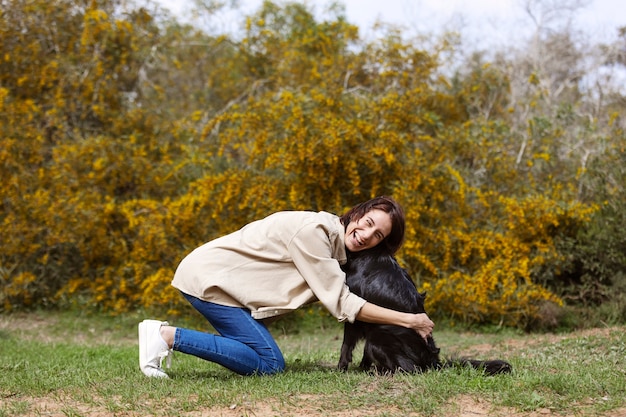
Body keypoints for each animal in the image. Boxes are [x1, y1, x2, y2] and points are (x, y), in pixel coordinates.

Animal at [338, 249, 510, 376]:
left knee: (409, 369)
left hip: (377, 337)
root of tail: (434, 362)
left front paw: (341, 369)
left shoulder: (354, 310)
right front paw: (361, 367)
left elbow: (346, 345)